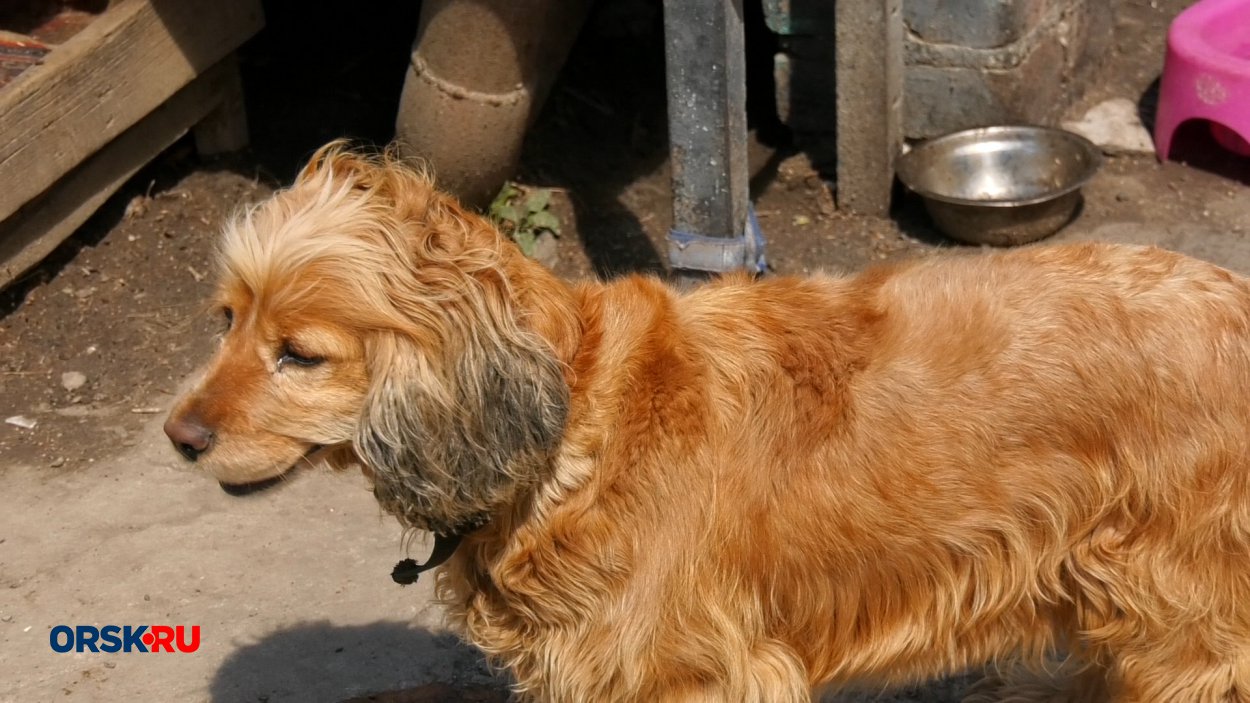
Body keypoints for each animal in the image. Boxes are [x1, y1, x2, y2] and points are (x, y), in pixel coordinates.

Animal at [163, 145, 1250, 695]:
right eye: (225, 320)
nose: (180, 437)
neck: (573, 420)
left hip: (1193, 624)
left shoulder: (690, 671)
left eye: (299, 353)